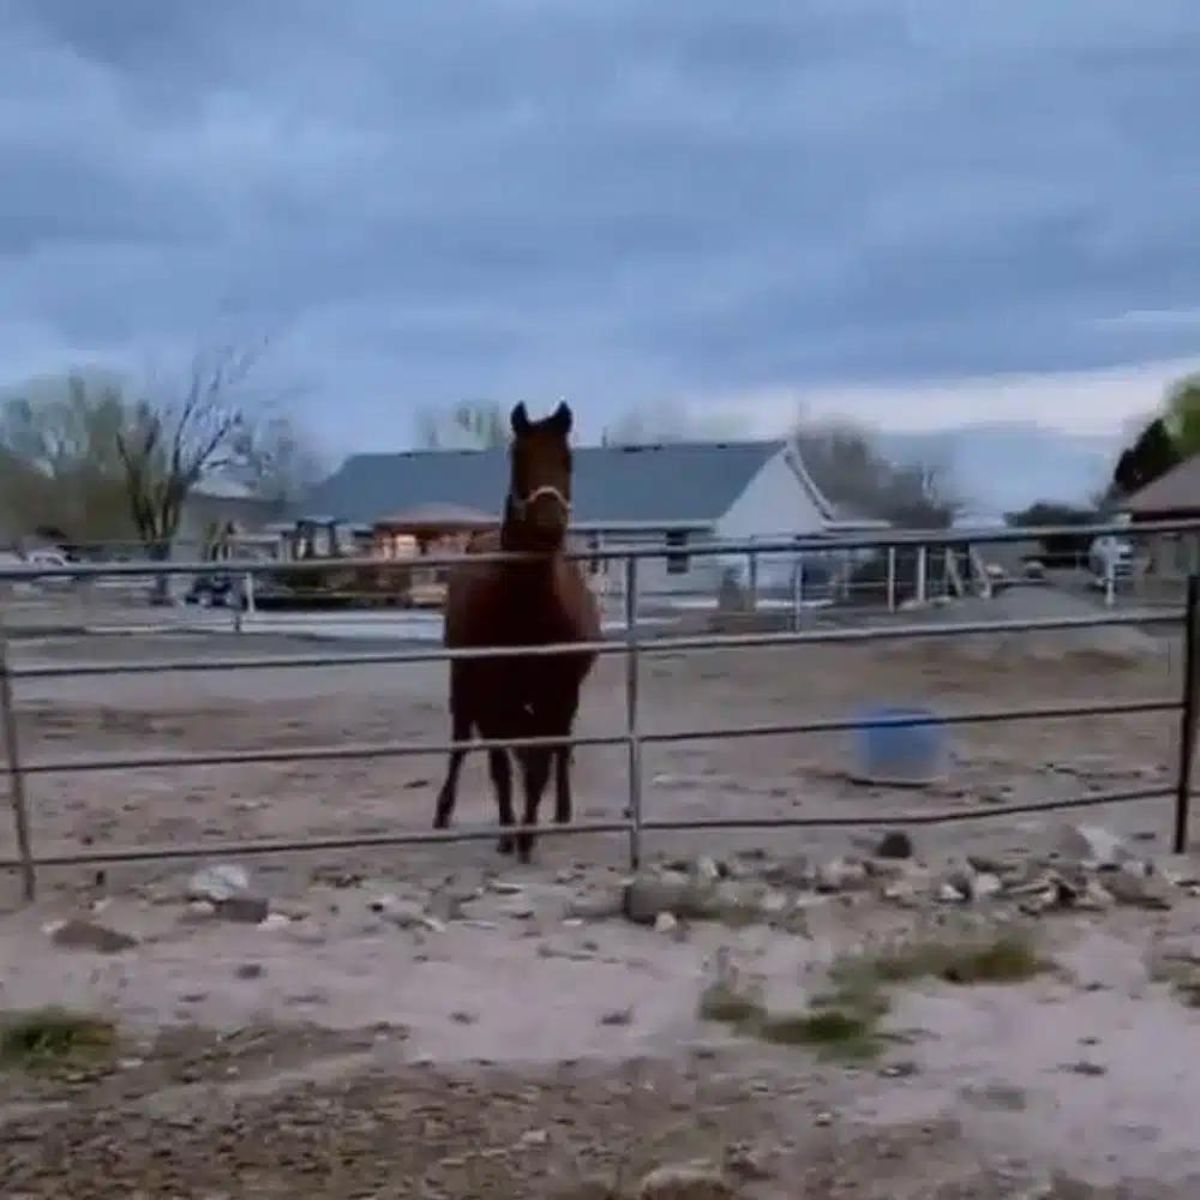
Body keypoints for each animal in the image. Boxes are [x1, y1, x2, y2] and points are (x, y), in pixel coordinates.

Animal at [432, 403, 600, 864]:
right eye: (518, 458)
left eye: (568, 459)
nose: (549, 523)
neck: (527, 609)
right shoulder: (493, 694)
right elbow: (501, 765)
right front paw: (510, 832)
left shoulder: (558, 692)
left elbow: (540, 759)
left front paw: (528, 833)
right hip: (464, 683)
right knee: (461, 742)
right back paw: (443, 811)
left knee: (557, 745)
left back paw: (560, 810)